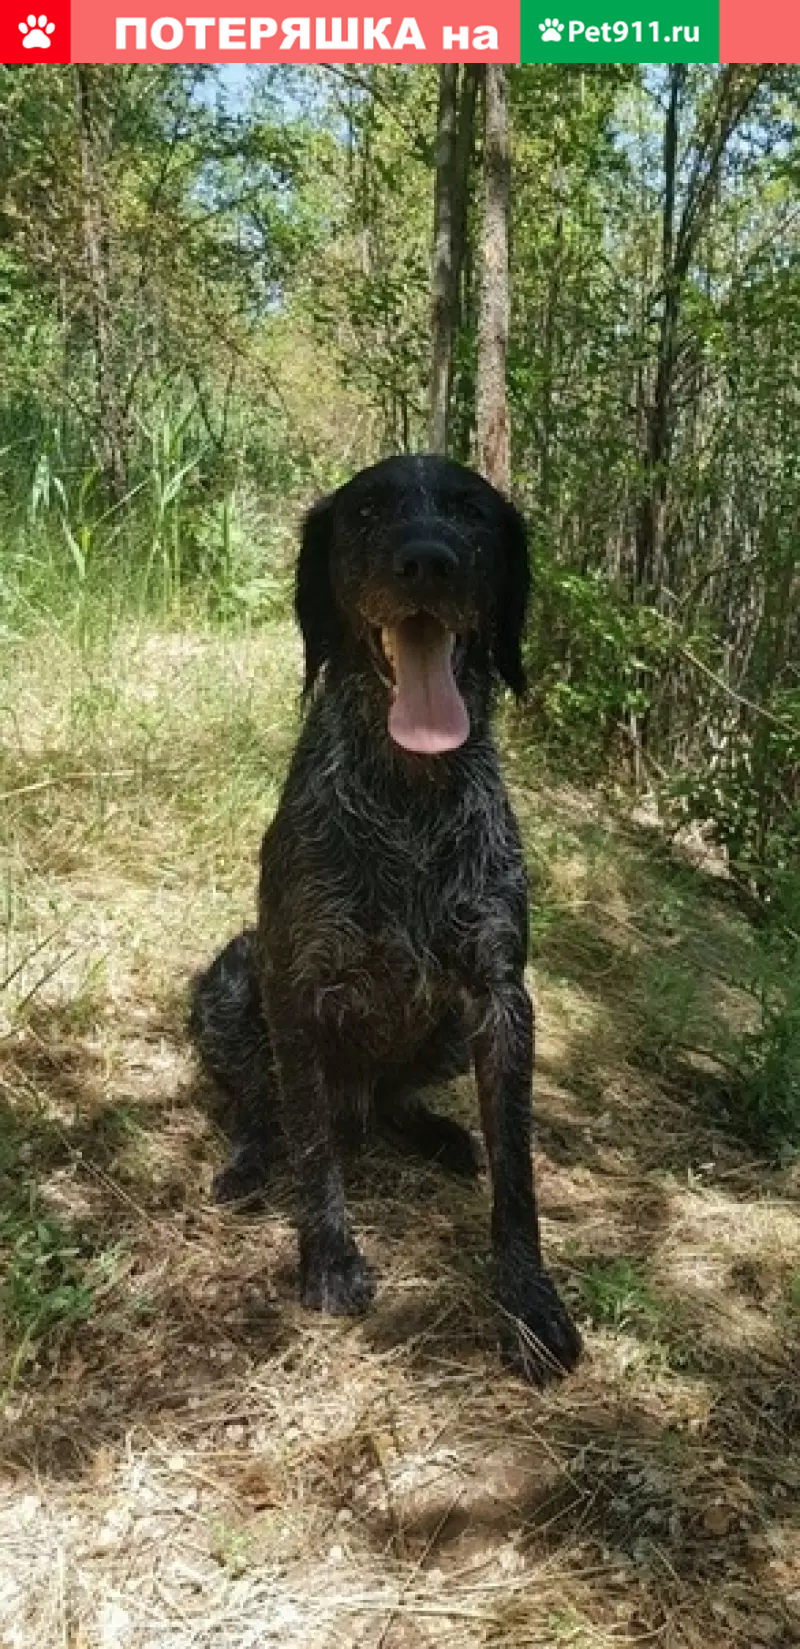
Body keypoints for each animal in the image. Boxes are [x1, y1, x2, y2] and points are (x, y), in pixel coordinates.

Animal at [189, 455, 581, 1384]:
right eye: (368, 511)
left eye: (471, 511)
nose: (428, 560)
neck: (409, 800)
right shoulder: (297, 985)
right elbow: (311, 1147)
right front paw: (329, 1257)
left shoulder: (502, 998)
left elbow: (517, 1176)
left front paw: (529, 1301)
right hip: (230, 978)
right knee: (265, 1107)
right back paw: (249, 1163)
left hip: (441, 1031)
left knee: (396, 1100)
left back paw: (438, 1134)